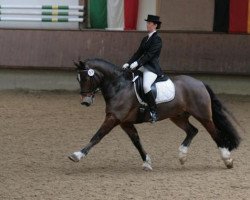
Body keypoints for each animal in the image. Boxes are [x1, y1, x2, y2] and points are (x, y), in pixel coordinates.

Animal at [68, 57, 240, 170]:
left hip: (203, 116)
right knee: (192, 130)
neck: (119, 86)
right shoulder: (125, 123)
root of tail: (200, 83)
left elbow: (97, 136)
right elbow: (136, 142)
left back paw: (227, 160)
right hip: (177, 116)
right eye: (77, 79)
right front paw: (147, 162)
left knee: (215, 134)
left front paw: (77, 155)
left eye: (86, 78)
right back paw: (182, 156)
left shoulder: (114, 118)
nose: (85, 102)